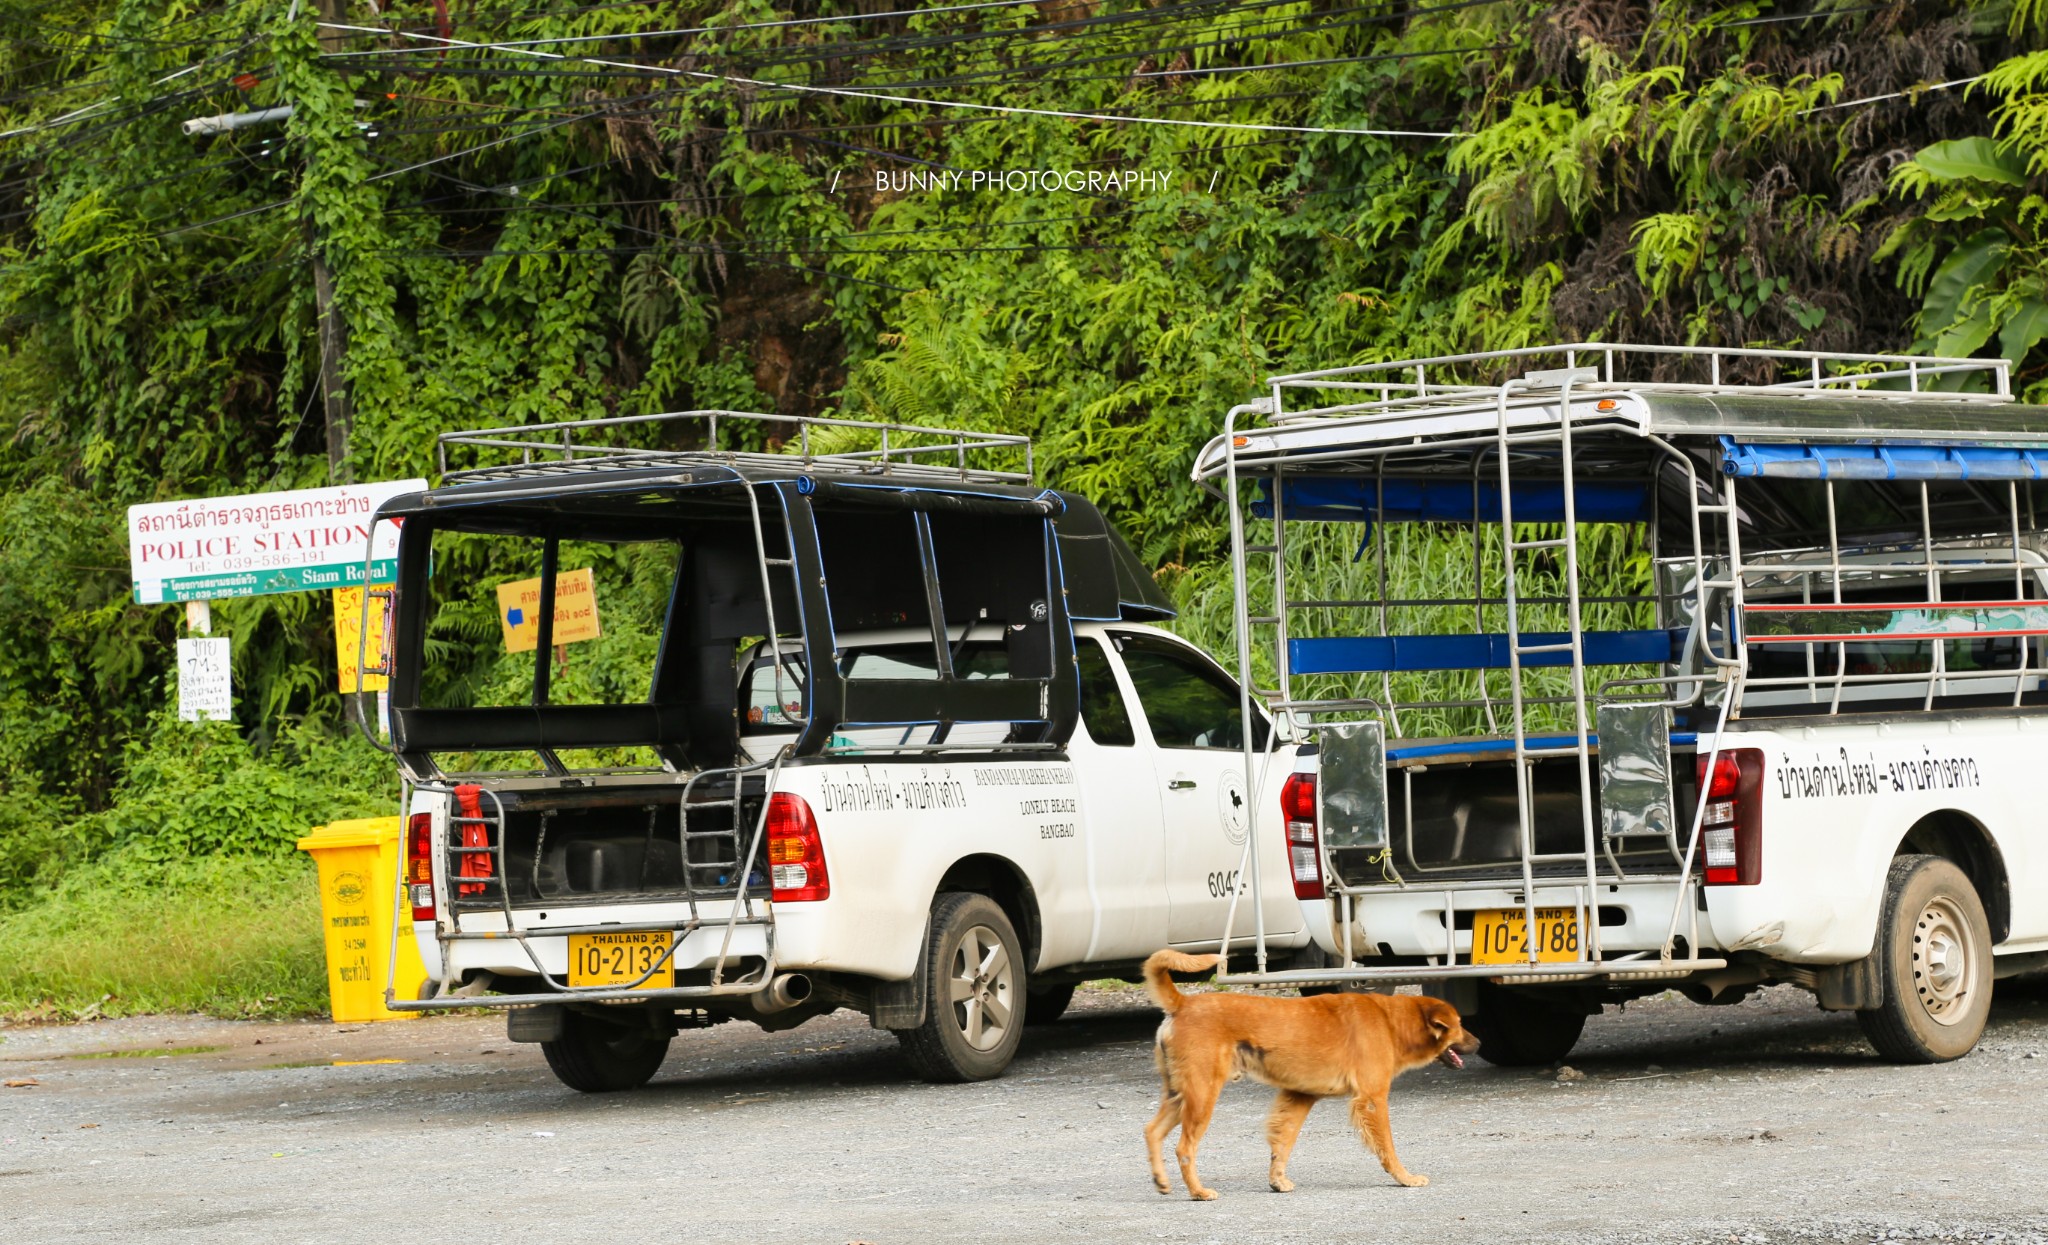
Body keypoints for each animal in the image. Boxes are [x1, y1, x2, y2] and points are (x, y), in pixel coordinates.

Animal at [1146, 954, 1482, 1195]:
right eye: (1460, 1025)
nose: (1479, 1043)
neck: (1391, 1022)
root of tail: (1182, 1003)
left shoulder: (1299, 1097)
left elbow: (1282, 1144)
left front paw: (1277, 1181)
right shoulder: (1372, 1100)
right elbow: (1387, 1147)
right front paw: (1404, 1178)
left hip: (1179, 1095)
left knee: (1151, 1131)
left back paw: (1161, 1180)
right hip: (1202, 1095)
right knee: (1184, 1148)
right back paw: (1198, 1192)